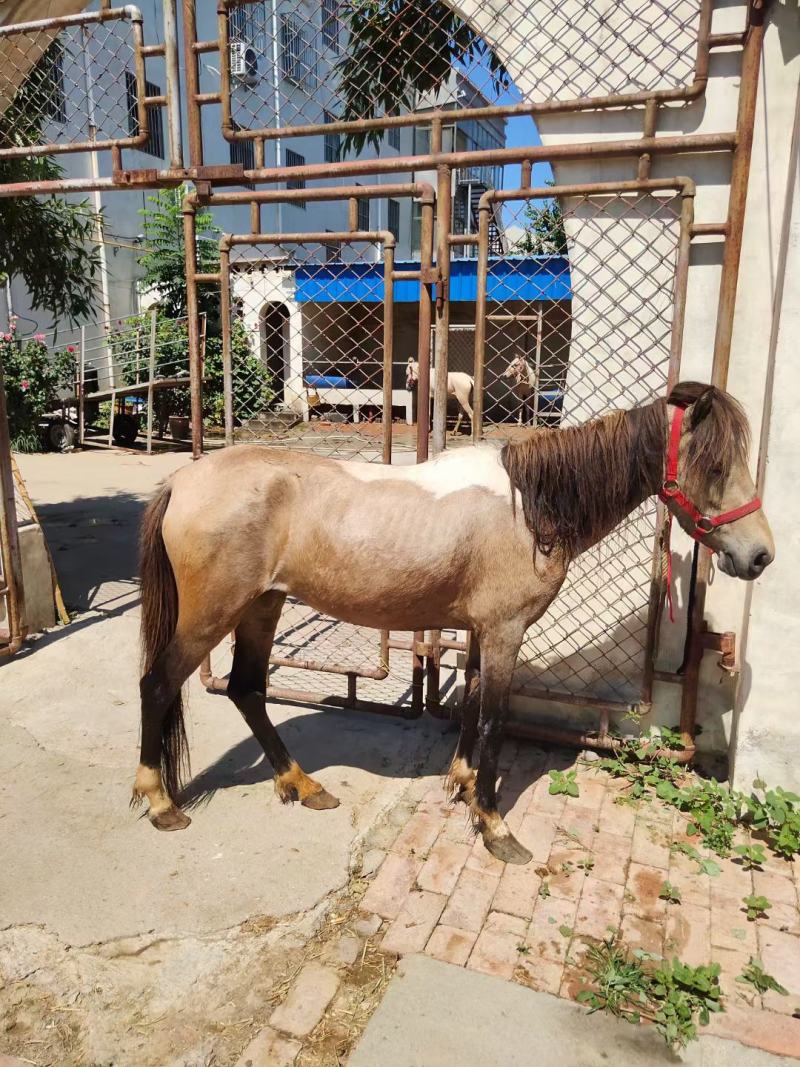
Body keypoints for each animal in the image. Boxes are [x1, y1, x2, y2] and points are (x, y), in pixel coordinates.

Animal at [132, 381, 773, 865]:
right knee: (158, 685)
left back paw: (302, 785)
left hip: (262, 607)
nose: (761, 556)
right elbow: (493, 719)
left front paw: (462, 786)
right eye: (716, 466)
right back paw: (161, 804)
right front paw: (494, 826)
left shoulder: (482, 631)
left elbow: (470, 700)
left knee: (246, 689)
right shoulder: (506, 630)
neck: (529, 508)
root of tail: (182, 481)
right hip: (212, 614)